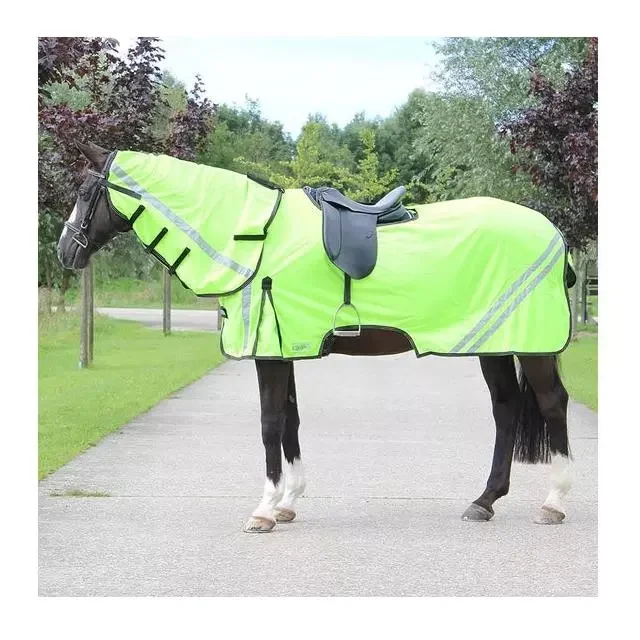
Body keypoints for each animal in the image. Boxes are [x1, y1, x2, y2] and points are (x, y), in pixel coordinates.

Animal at [57, 141, 574, 533]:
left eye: (84, 190)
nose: (65, 251)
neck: (253, 240)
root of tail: (554, 232)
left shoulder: (269, 350)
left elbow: (269, 423)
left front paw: (264, 509)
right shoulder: (283, 346)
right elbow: (291, 420)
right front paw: (289, 501)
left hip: (532, 346)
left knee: (552, 404)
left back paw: (554, 502)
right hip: (496, 342)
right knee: (506, 408)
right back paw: (484, 500)